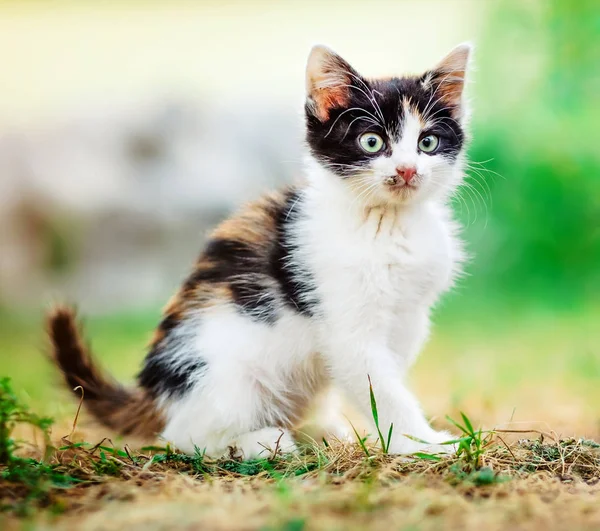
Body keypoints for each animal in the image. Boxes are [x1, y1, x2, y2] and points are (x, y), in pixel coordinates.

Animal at [49, 43, 472, 460]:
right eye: (372, 141)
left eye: (428, 142)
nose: (407, 171)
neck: (387, 221)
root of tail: (159, 395)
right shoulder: (346, 326)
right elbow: (380, 386)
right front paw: (424, 444)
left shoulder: (409, 317)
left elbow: (389, 376)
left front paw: (404, 439)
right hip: (224, 370)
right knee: (183, 436)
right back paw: (260, 441)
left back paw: (322, 432)